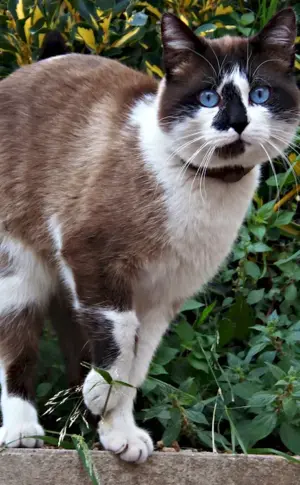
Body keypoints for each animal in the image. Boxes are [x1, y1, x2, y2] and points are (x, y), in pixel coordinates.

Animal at [0, 6, 298, 462]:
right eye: (208, 97)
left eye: (260, 95)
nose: (236, 122)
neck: (205, 190)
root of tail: (33, 65)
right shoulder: (93, 258)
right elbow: (121, 337)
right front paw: (101, 396)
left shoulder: (162, 299)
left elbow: (136, 367)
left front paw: (119, 433)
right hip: (20, 273)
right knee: (15, 350)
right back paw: (22, 431)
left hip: (65, 289)